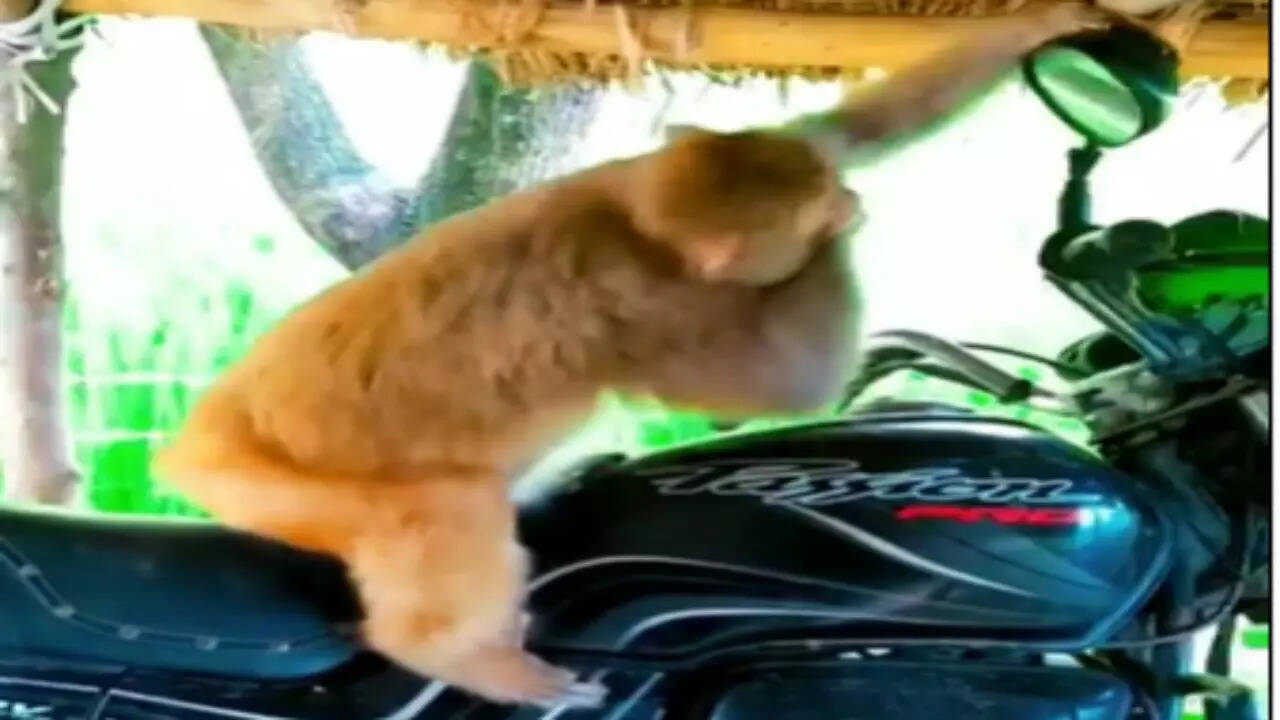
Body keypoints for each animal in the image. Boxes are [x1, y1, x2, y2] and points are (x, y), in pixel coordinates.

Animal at [152, 2, 1107, 709]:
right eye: (819, 210)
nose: (842, 200)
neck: (639, 226)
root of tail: (188, 450)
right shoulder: (652, 310)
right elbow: (788, 386)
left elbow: (852, 124)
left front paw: (1046, 23)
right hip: (280, 487)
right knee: (444, 513)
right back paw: (473, 661)